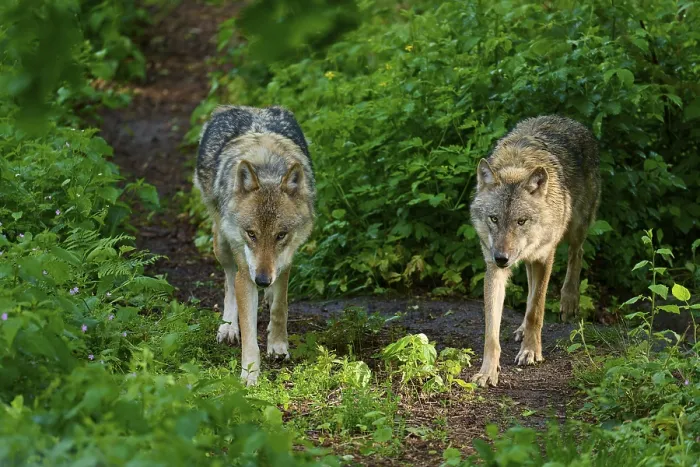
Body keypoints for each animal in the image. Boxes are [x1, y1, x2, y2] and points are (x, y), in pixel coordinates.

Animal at [194, 105, 315, 385]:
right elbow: (249, 331)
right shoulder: (246, 272)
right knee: (228, 280)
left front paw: (278, 346)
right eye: (251, 234)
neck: (267, 169)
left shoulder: (285, 261)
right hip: (222, 244)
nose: (261, 280)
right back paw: (228, 326)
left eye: (281, 235)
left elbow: (281, 306)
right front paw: (249, 374)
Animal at [469, 115, 600, 387]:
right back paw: (520, 330)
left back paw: (568, 301)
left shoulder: (544, 257)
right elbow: (491, 333)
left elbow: (536, 310)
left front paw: (531, 351)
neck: (517, 166)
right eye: (494, 219)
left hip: (576, 226)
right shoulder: (493, 268)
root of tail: (565, 118)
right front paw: (488, 371)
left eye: (521, 221)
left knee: (577, 254)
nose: (502, 258)